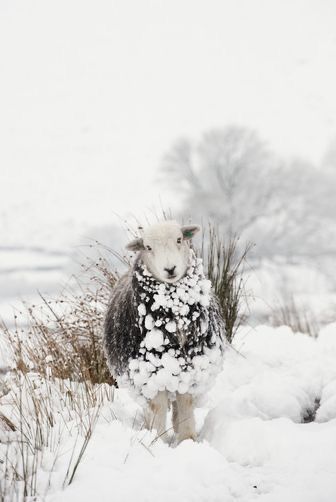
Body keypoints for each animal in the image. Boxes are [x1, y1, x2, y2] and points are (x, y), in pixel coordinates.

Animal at [104, 222, 226, 442]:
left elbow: (185, 404)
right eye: (148, 247)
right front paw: (156, 439)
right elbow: (157, 408)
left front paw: (187, 439)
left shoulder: (190, 370)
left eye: (179, 239)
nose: (170, 269)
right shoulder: (149, 375)